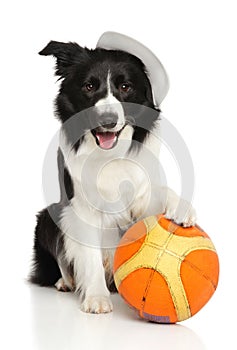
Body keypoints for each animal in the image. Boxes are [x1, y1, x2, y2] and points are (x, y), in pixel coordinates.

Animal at [30, 35, 196, 314]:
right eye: (88, 86)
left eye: (126, 87)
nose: (107, 120)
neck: (110, 155)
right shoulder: (81, 207)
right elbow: (90, 256)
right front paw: (96, 297)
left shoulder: (142, 191)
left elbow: (159, 191)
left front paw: (181, 207)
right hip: (48, 216)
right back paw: (66, 281)